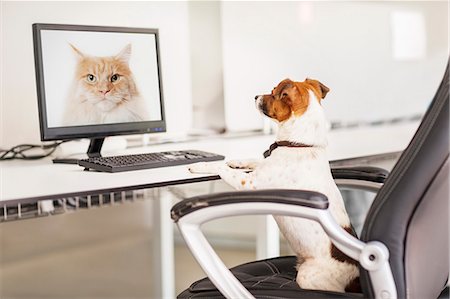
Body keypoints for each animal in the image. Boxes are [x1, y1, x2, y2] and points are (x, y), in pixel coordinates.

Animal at [188, 78, 360, 294]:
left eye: (272, 92)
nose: (254, 96)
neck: (298, 145)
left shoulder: (249, 183)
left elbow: (222, 167)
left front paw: (200, 165)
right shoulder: (262, 165)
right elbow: (249, 160)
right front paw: (233, 161)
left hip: (308, 276)